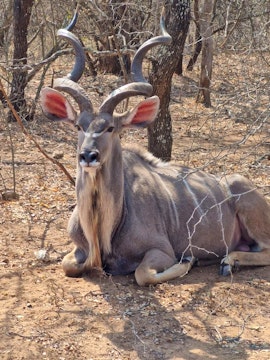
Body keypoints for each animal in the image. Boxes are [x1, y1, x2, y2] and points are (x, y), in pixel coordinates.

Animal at [40, 14, 270, 286]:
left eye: (110, 128)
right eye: (78, 126)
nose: (88, 156)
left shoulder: (161, 250)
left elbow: (143, 274)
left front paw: (189, 260)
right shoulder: (77, 250)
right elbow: (69, 265)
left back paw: (228, 261)